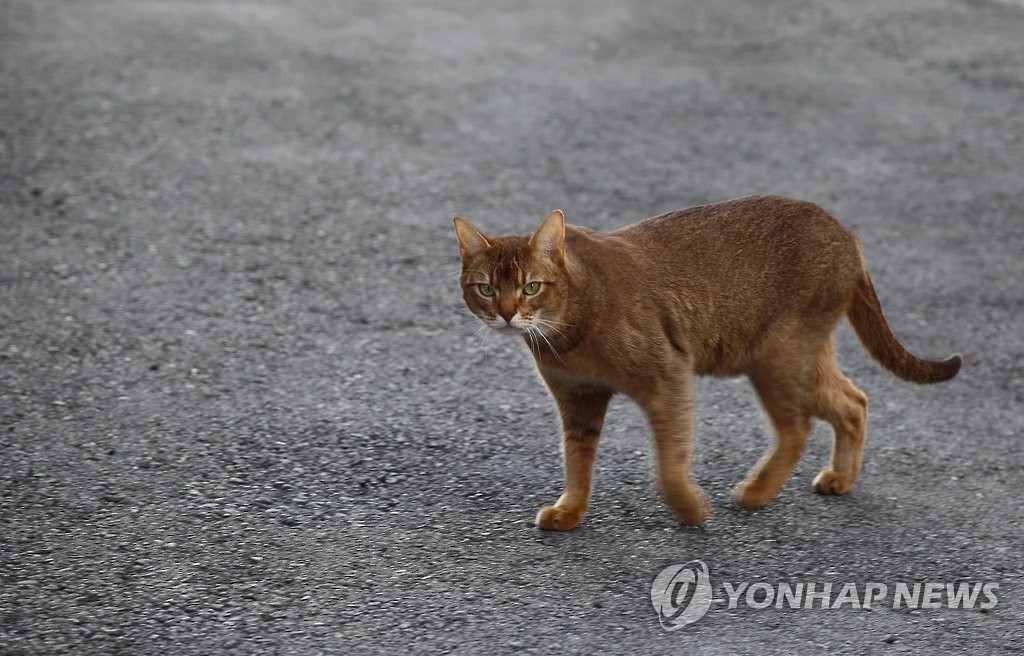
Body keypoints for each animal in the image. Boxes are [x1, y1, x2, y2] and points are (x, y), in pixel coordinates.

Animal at [452, 195, 962, 532]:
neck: (568, 332)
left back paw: (757, 492)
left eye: (531, 287)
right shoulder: (578, 399)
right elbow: (577, 460)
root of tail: (847, 236)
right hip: (801, 354)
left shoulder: (668, 374)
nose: (506, 313)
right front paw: (570, 511)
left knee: (799, 424)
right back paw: (839, 478)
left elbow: (669, 460)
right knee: (854, 401)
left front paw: (688, 509)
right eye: (486, 289)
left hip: (776, 355)